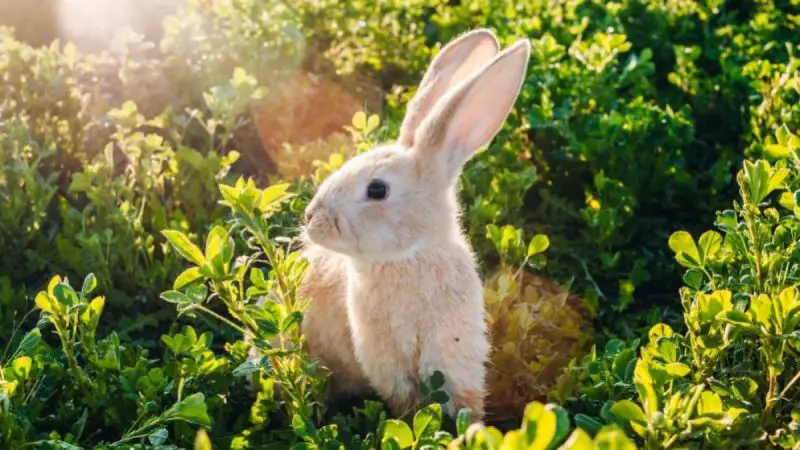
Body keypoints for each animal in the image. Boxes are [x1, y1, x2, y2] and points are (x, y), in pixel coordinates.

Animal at [298, 28, 531, 421]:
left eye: (377, 189)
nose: (311, 219)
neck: (408, 257)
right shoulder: (385, 360)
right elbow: (404, 401)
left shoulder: (453, 351)